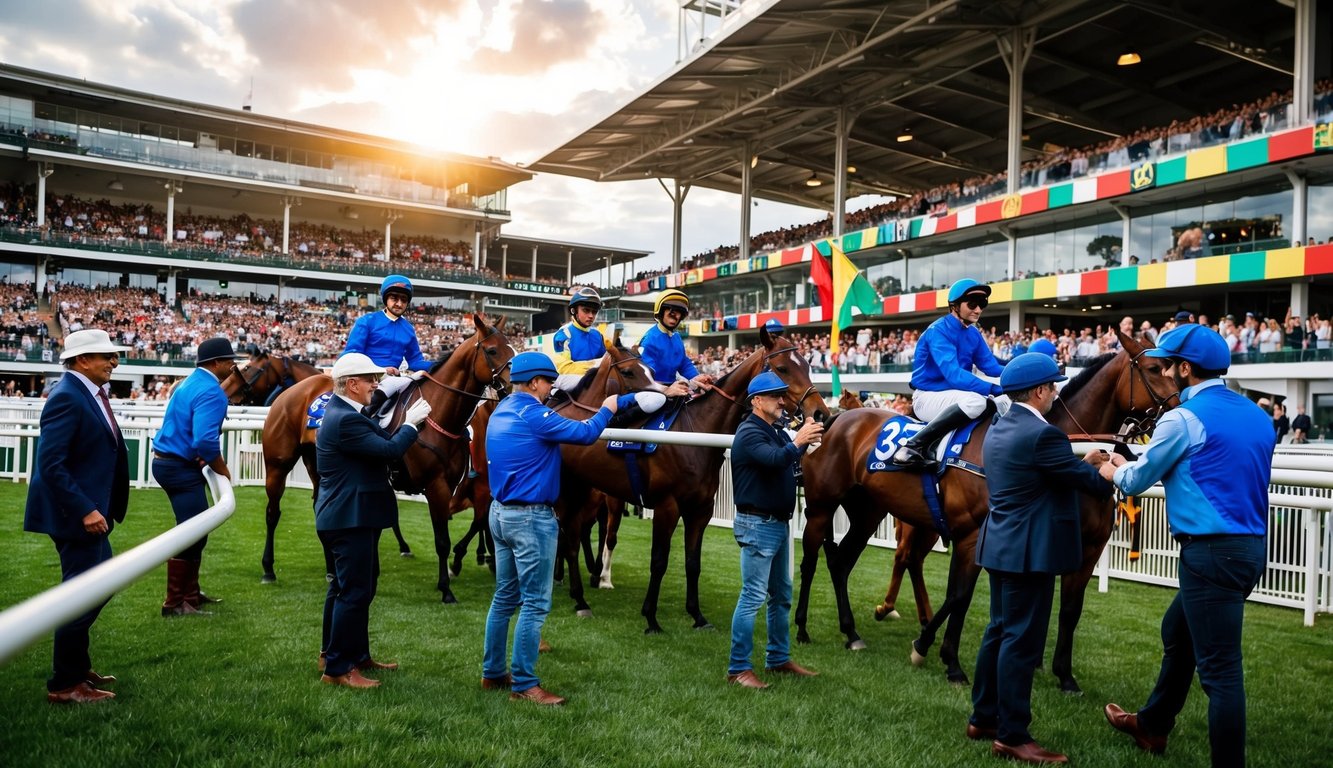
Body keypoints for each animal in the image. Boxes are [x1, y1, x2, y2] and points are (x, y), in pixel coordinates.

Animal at [257, 310, 511, 600]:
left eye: (512, 348)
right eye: (492, 350)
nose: (513, 386)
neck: (438, 415)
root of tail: (292, 391)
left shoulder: (456, 485)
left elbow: (472, 523)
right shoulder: (436, 485)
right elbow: (442, 541)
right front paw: (447, 588)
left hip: (320, 466)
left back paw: (332, 569)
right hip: (277, 465)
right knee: (272, 512)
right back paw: (268, 569)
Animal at [551, 326, 821, 632]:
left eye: (808, 365)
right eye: (782, 368)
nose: (820, 411)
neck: (697, 433)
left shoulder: (700, 510)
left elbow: (693, 563)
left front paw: (697, 615)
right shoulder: (667, 506)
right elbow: (658, 561)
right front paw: (651, 617)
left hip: (584, 491)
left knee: (573, 535)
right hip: (569, 493)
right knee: (570, 538)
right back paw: (580, 596)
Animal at [794, 330, 1173, 688]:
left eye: (1173, 367)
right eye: (1154, 368)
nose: (1178, 408)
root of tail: (834, 420)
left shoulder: (1078, 548)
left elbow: (1065, 608)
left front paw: (1062, 675)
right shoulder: (972, 535)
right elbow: (959, 596)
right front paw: (947, 660)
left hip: (868, 513)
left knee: (843, 563)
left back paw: (852, 632)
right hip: (822, 508)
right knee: (813, 560)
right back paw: (801, 627)